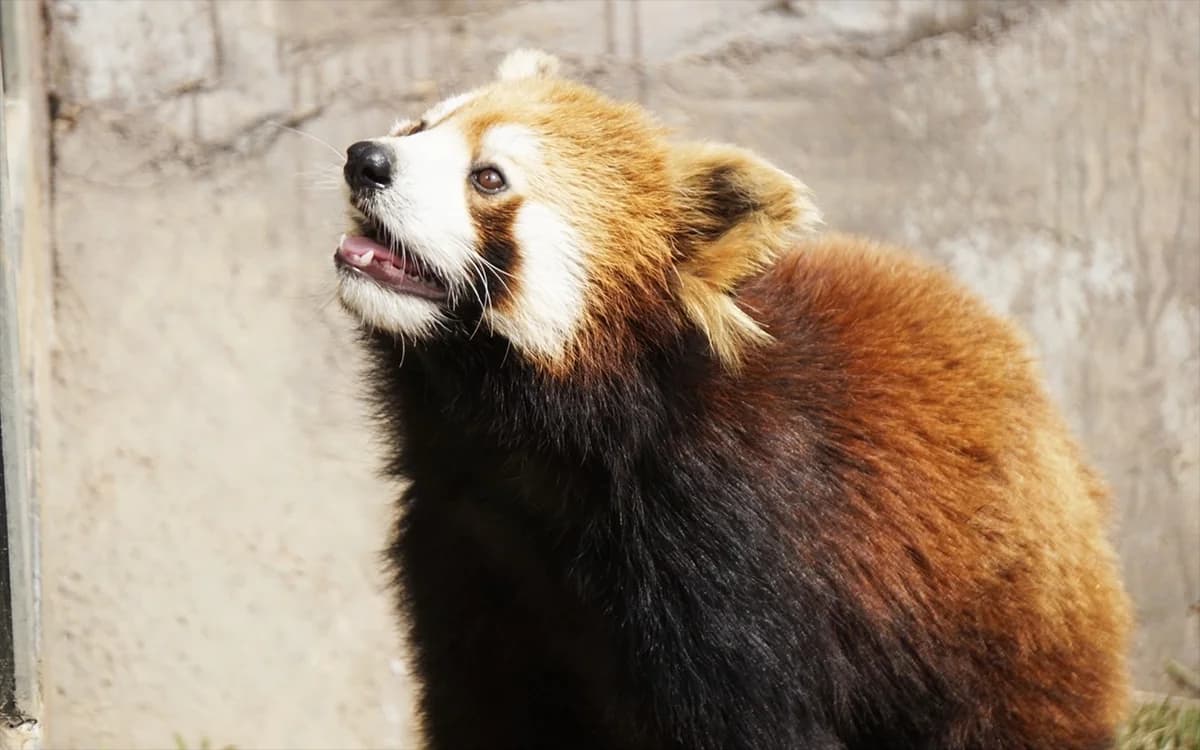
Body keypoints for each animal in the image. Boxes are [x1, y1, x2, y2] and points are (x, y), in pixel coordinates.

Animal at [332, 49, 1132, 750]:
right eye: (420, 126)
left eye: (489, 177)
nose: (365, 159)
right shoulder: (465, 548)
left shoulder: (735, 554)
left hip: (998, 628)